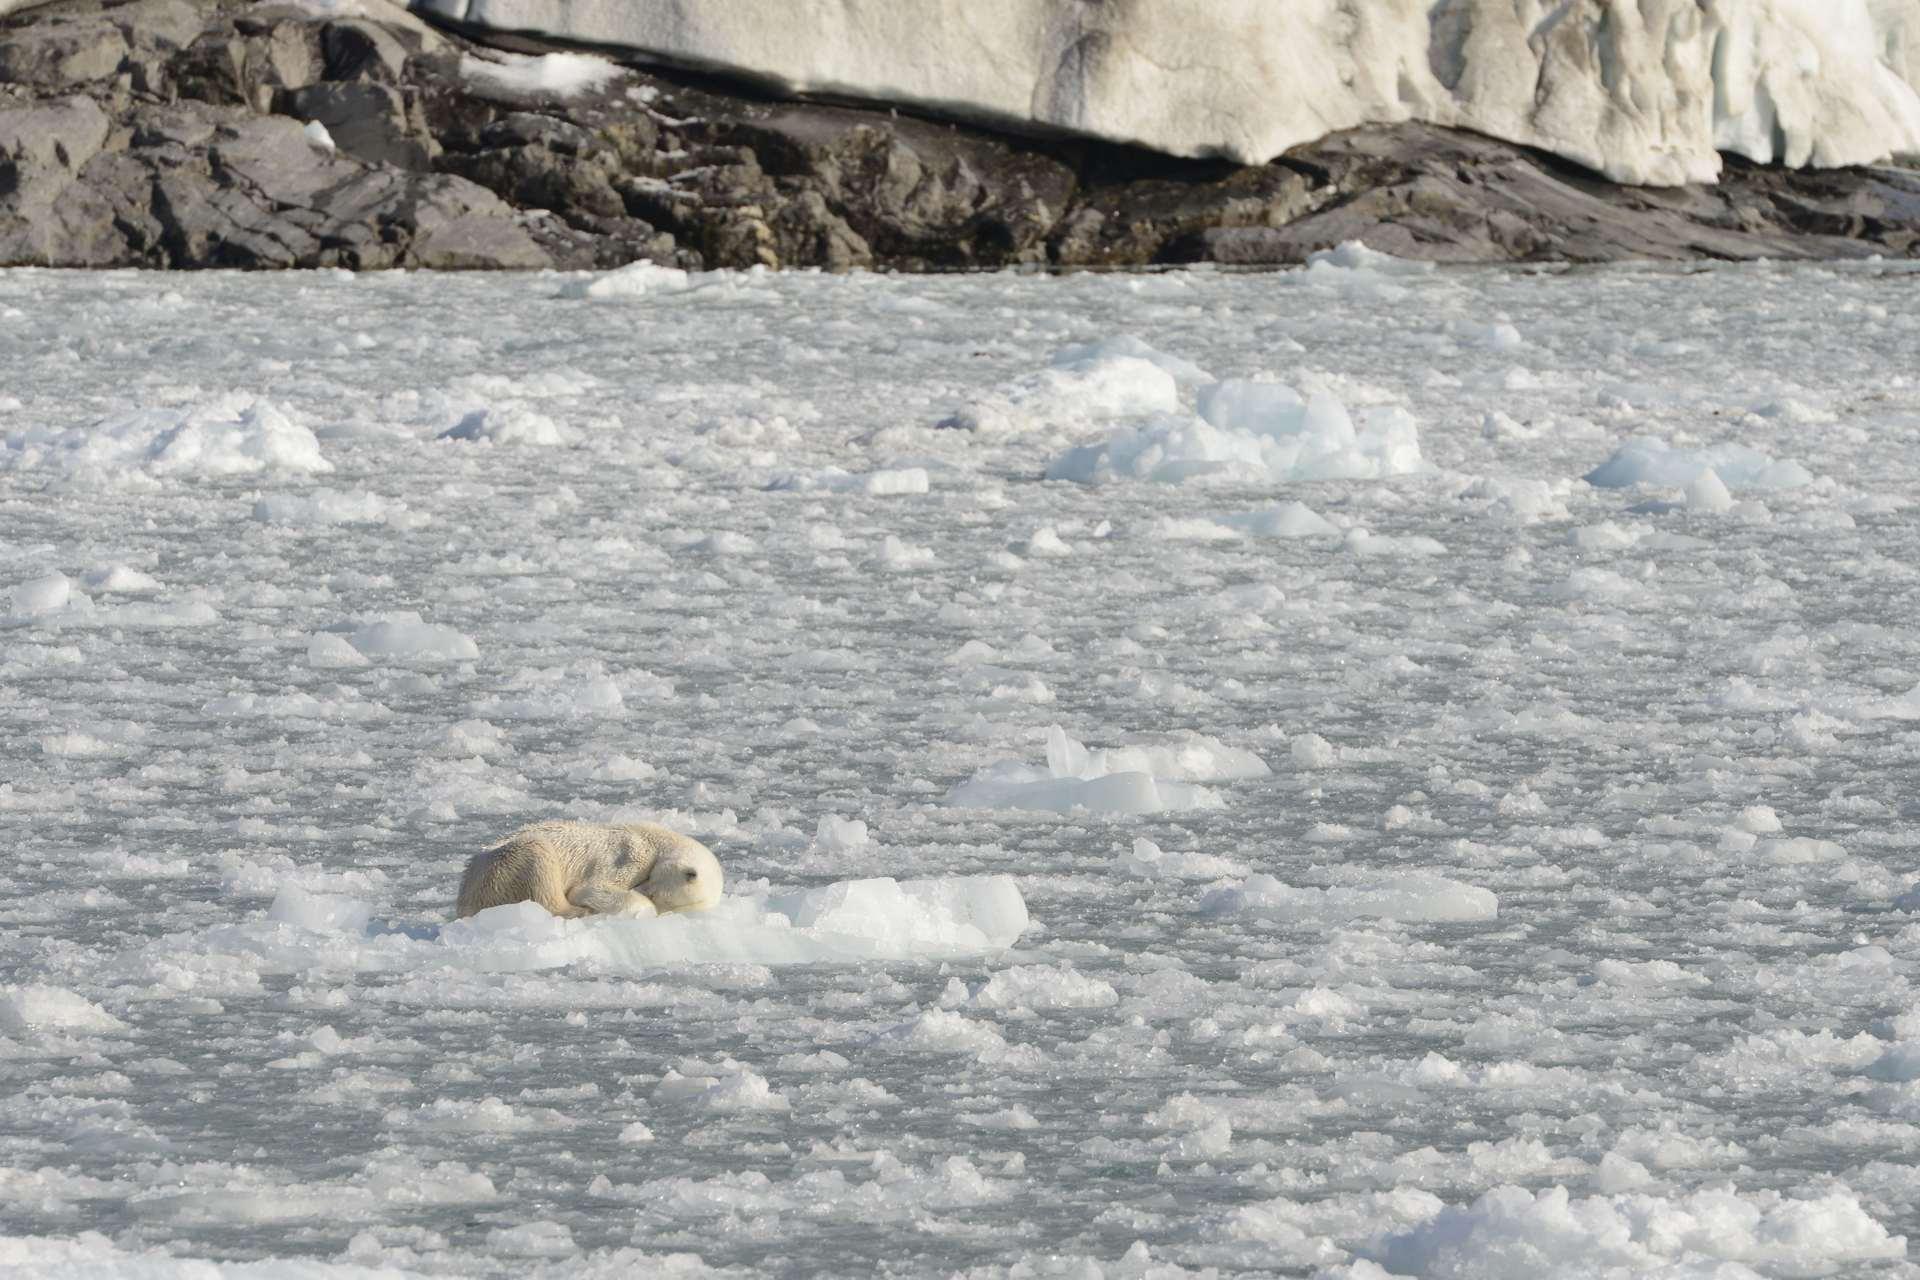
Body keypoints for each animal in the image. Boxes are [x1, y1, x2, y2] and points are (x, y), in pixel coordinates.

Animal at [453, 821, 721, 921]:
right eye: (653, 891)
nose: (642, 889)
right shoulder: (630, 855)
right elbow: (590, 888)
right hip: (503, 865)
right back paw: (579, 911)